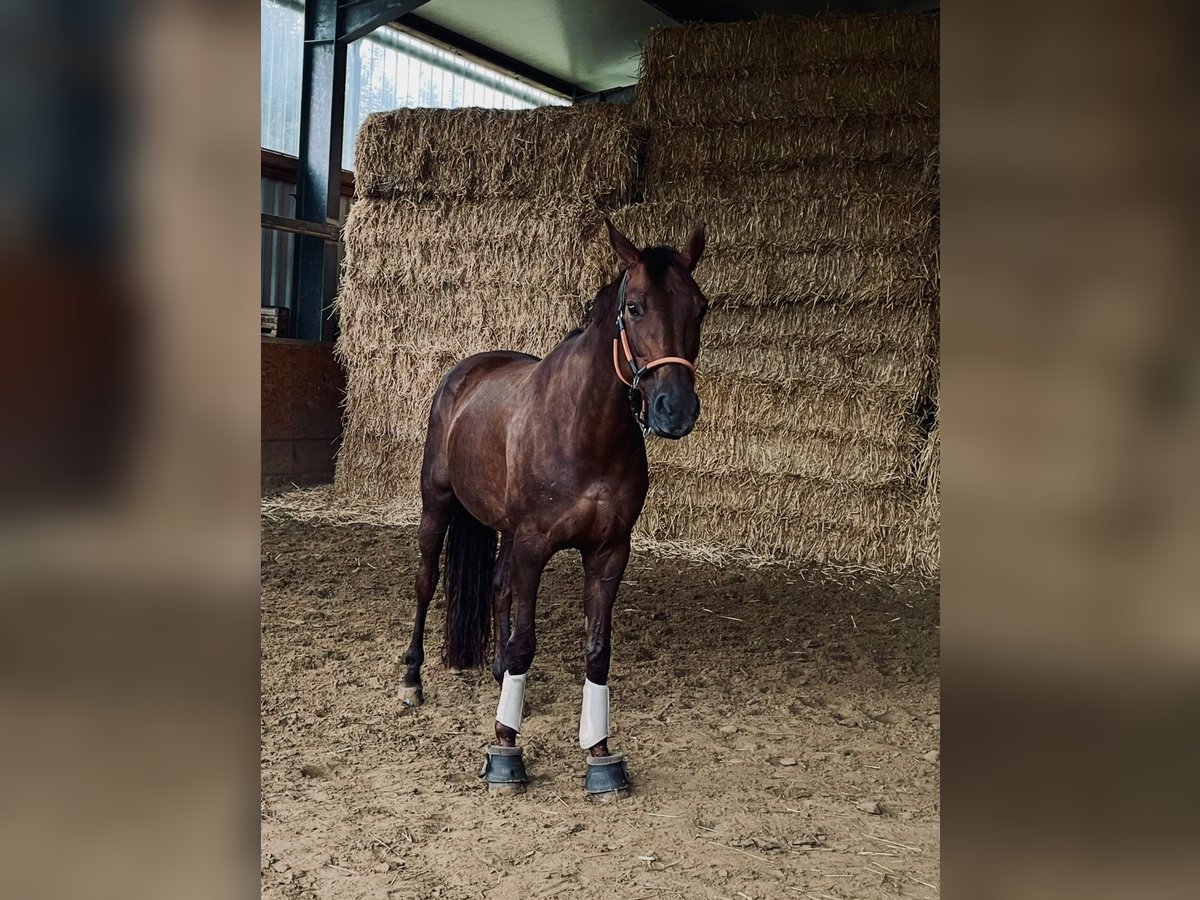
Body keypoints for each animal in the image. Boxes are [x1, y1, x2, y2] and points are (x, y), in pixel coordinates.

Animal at [398, 222, 705, 801]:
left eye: (700, 308)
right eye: (634, 307)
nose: (674, 410)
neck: (584, 430)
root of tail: (467, 370)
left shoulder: (608, 553)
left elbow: (597, 650)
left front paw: (600, 756)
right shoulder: (534, 545)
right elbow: (525, 642)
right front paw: (505, 751)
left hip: (504, 531)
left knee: (497, 588)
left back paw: (499, 678)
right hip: (438, 505)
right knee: (426, 582)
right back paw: (411, 681)